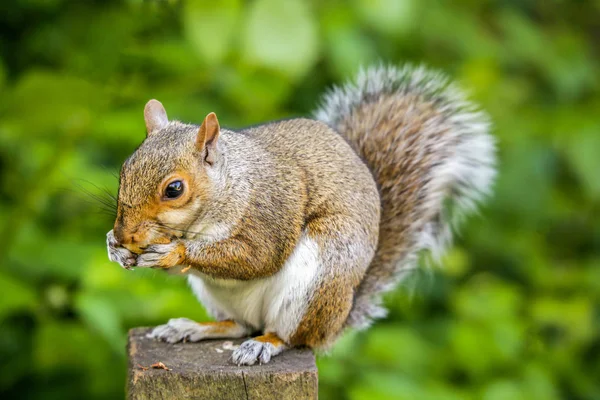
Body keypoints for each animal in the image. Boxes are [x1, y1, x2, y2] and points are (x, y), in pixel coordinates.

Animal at [105, 63, 494, 366]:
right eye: (124, 169)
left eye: (174, 189)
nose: (124, 234)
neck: (229, 186)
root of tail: (338, 320)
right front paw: (115, 248)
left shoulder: (271, 210)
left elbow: (257, 256)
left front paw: (173, 252)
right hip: (217, 296)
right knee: (239, 325)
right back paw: (194, 327)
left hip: (317, 281)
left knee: (291, 337)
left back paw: (264, 345)